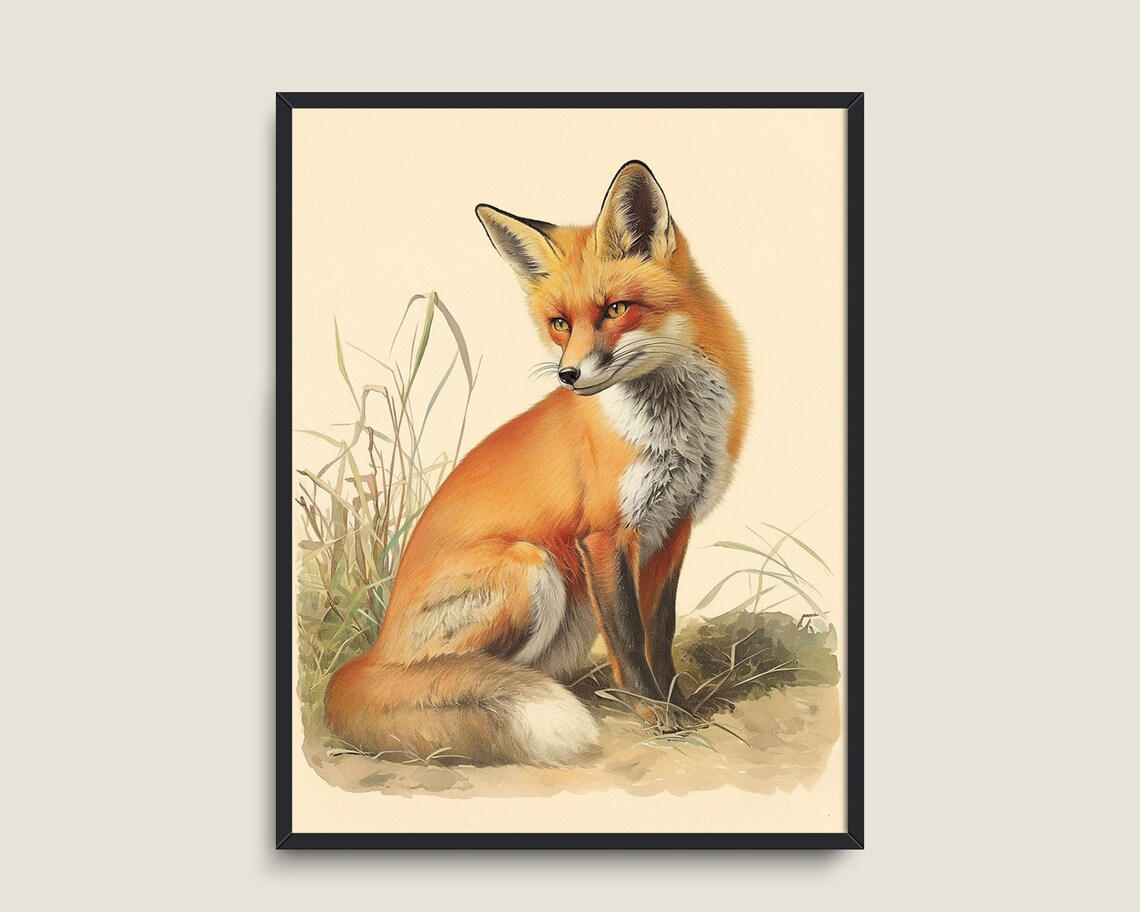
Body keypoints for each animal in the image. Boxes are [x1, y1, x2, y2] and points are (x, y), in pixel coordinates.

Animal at [324, 161, 750, 767]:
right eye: (559, 323)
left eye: (616, 309)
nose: (568, 376)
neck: (673, 430)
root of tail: (374, 653)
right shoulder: (604, 534)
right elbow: (628, 636)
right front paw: (655, 713)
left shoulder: (674, 524)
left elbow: (660, 631)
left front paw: (680, 704)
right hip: (533, 567)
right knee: (448, 675)